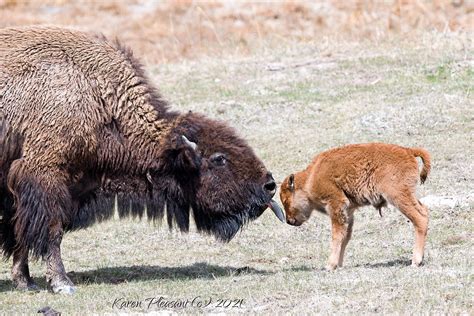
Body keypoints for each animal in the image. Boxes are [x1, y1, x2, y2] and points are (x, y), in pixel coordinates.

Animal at [0, 27, 282, 294]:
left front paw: (26, 282)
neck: (101, 99)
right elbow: (51, 231)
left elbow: (19, 233)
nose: (269, 185)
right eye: (219, 158)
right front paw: (61, 283)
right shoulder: (44, 175)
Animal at [280, 143, 432, 270]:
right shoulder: (348, 211)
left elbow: (337, 235)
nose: (289, 221)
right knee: (423, 211)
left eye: (286, 200)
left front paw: (330, 265)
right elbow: (346, 236)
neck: (310, 178)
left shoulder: (335, 205)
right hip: (407, 196)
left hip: (398, 197)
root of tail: (408, 151)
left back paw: (415, 261)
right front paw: (339, 265)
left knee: (419, 218)